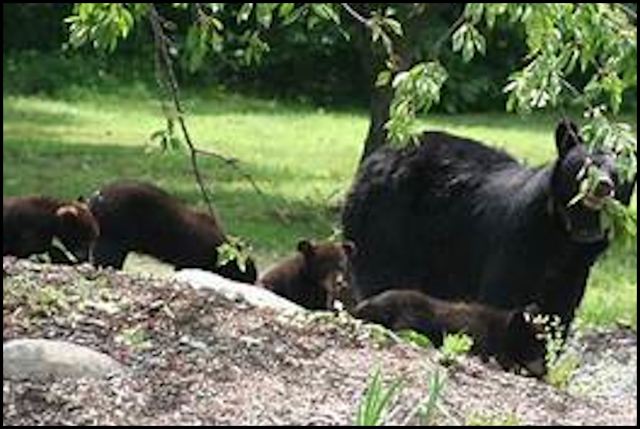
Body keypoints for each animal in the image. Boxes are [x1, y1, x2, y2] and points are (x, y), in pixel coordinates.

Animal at [342, 119, 636, 338]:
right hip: (386, 218)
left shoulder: (575, 268)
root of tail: (377, 156)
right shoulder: (520, 239)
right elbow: (503, 294)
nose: (603, 186)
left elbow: (559, 311)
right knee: (383, 272)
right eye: (585, 166)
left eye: (618, 173)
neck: (565, 234)